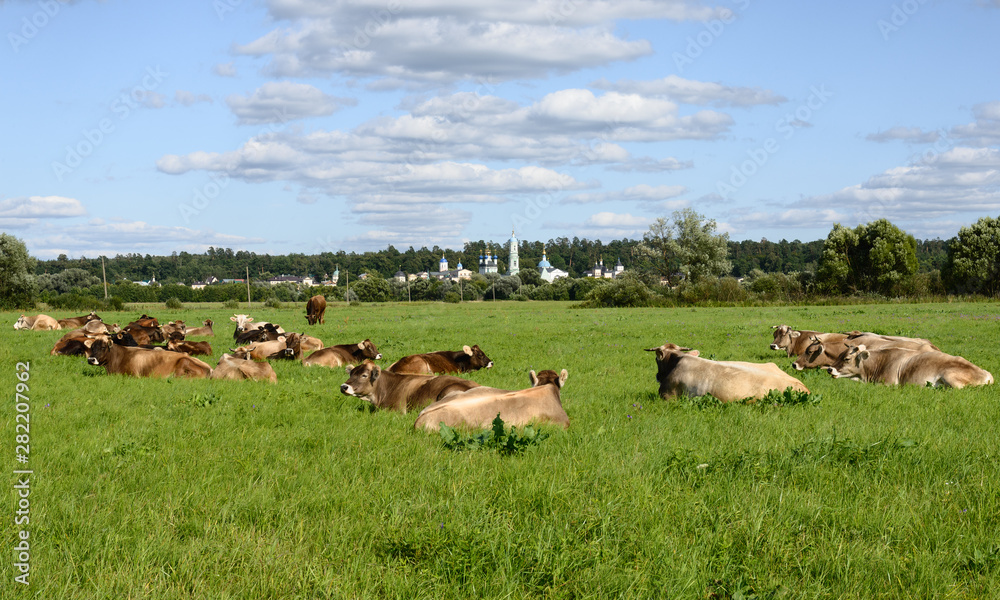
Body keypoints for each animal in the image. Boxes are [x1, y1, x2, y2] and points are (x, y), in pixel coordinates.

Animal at [824, 342, 996, 390]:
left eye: (847, 358)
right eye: (838, 355)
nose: (830, 369)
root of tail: (988, 375)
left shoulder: (888, 383)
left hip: (950, 376)